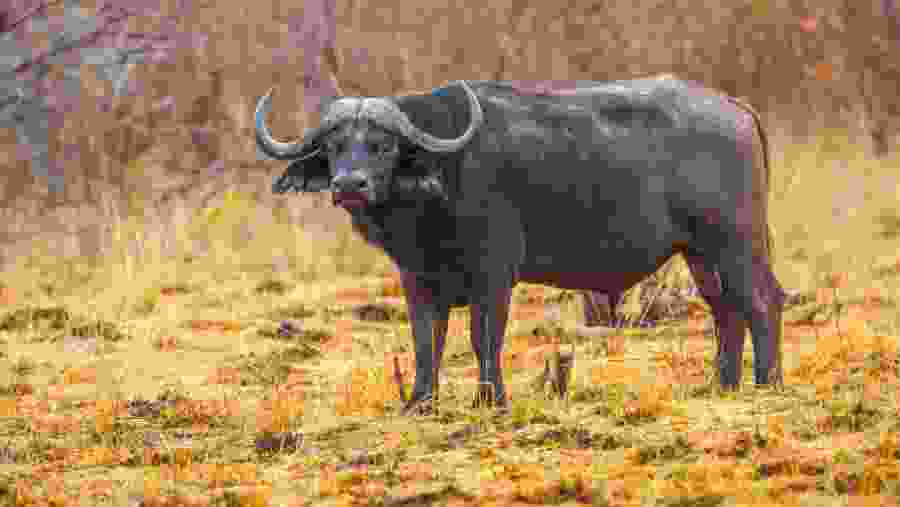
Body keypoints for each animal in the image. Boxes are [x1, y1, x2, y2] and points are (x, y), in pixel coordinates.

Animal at [256, 76, 786, 414]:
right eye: (333, 147)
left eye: (383, 144)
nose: (350, 185)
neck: (440, 183)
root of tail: (736, 108)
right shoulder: (417, 279)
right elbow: (427, 339)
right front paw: (419, 402)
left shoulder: (493, 273)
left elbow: (483, 336)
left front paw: (490, 400)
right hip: (700, 253)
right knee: (727, 310)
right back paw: (723, 384)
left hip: (735, 241)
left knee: (762, 301)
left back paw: (768, 382)